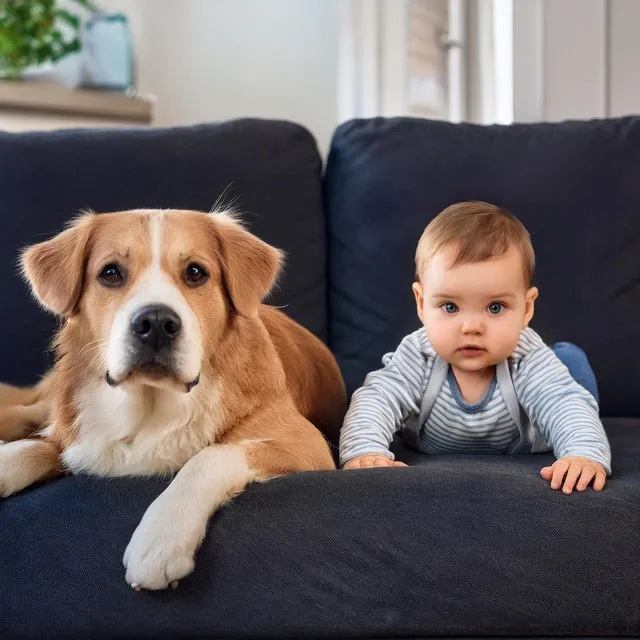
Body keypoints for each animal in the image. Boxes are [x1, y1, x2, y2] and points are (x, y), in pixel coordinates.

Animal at [0, 209, 344, 592]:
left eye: (195, 272)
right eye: (111, 273)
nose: (155, 323)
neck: (153, 404)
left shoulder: (307, 443)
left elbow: (210, 455)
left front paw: (160, 538)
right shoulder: (75, 434)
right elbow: (35, 447)